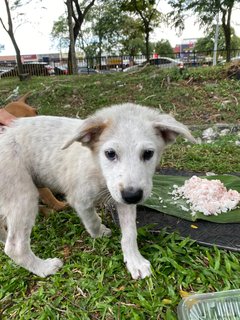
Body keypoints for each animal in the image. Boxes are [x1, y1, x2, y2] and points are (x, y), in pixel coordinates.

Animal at [0, 104, 195, 278]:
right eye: (110, 153)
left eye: (148, 153)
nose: (132, 196)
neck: (98, 169)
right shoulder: (80, 199)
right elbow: (92, 220)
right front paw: (99, 233)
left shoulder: (124, 198)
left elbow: (130, 233)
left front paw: (135, 261)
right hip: (22, 195)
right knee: (15, 246)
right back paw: (44, 268)